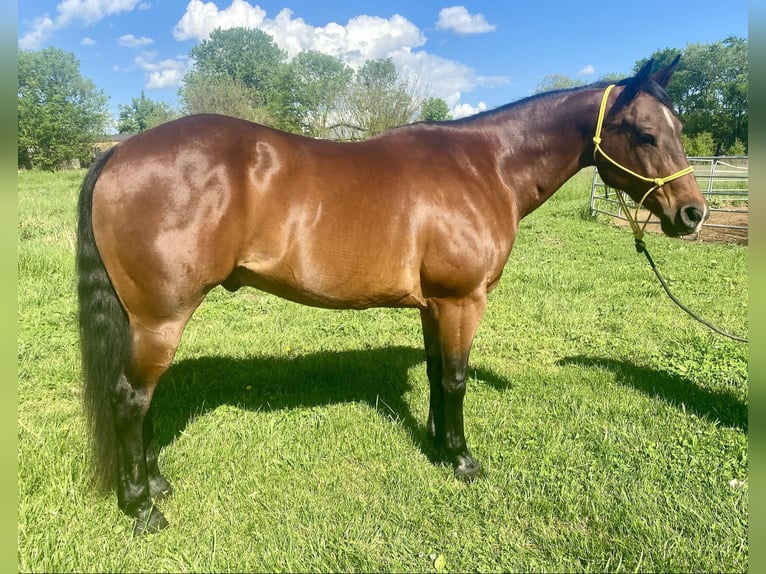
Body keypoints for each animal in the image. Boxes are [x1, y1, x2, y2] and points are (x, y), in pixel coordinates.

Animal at [76, 56, 707, 535]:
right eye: (645, 133)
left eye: (679, 129)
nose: (693, 214)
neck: (485, 167)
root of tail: (119, 151)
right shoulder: (462, 301)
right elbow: (455, 378)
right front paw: (463, 459)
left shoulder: (435, 306)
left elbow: (434, 372)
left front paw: (436, 442)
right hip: (161, 318)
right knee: (130, 398)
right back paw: (142, 507)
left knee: (144, 398)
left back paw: (156, 482)